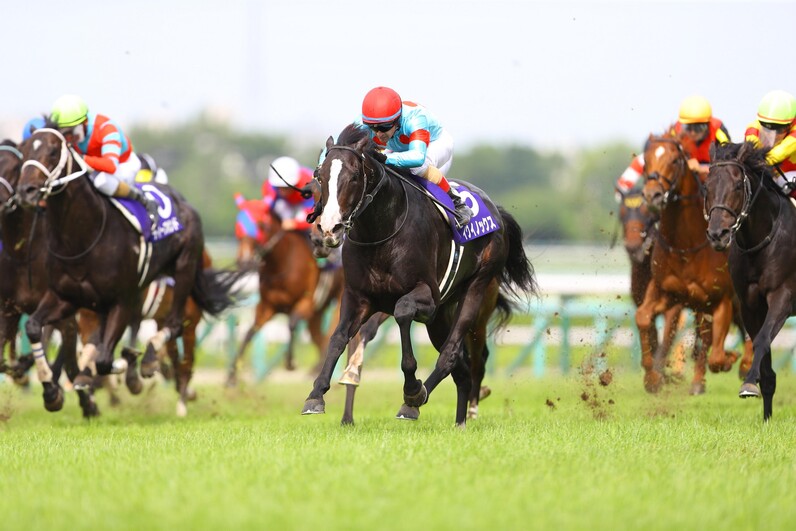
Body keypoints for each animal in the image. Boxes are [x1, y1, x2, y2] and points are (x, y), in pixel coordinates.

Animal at [16, 125, 242, 412]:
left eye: (53, 151)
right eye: (24, 150)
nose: (27, 190)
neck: (83, 236)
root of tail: (183, 202)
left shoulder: (121, 301)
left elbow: (105, 358)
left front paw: (123, 364)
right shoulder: (66, 298)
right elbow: (35, 327)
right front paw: (51, 391)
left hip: (184, 272)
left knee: (175, 328)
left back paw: (153, 365)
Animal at [304, 124, 537, 426]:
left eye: (354, 176)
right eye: (318, 176)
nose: (328, 229)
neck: (381, 232)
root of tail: (495, 209)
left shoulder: (426, 297)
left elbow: (403, 312)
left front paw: (412, 389)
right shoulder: (359, 298)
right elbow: (337, 338)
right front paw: (316, 394)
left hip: (477, 288)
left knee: (452, 355)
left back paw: (415, 401)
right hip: (442, 316)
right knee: (461, 370)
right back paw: (459, 422)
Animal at [638, 132, 751, 395]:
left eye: (674, 161)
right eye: (646, 160)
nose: (652, 195)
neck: (686, 245)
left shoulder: (721, 299)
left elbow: (716, 355)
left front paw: (730, 359)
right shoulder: (667, 291)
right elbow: (643, 317)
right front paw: (652, 378)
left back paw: (743, 365)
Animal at [704, 141, 796, 420]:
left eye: (737, 185)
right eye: (707, 185)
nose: (718, 234)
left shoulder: (783, 295)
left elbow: (762, 339)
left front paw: (748, 382)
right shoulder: (749, 304)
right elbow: (763, 355)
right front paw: (765, 415)